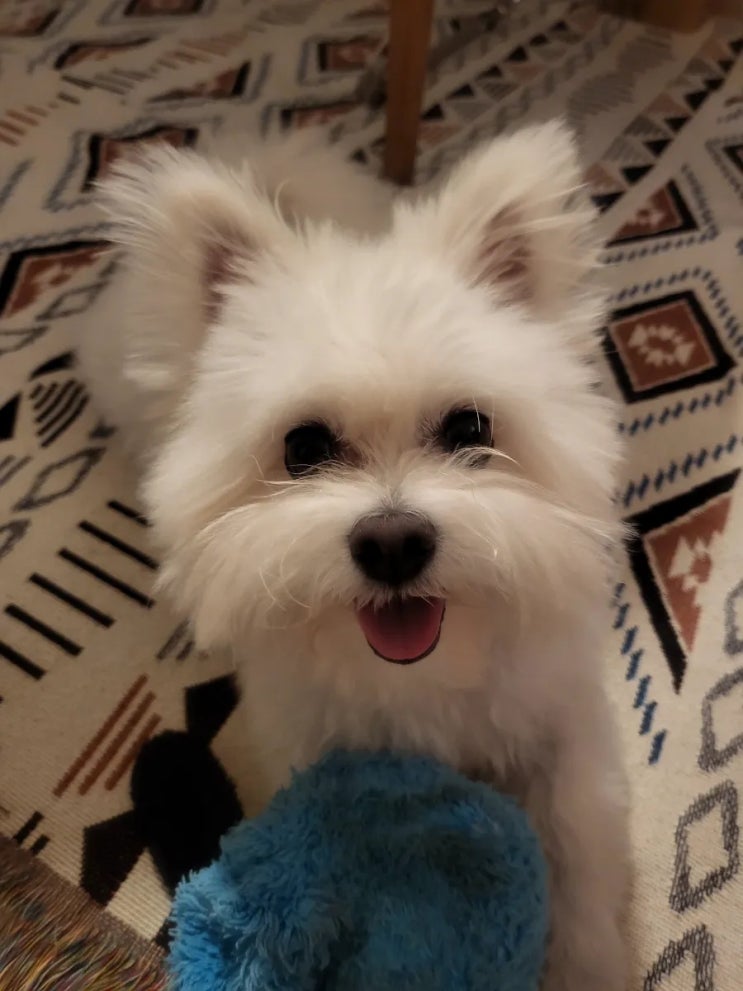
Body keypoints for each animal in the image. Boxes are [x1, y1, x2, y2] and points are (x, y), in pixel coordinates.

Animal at [78, 123, 629, 991]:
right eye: (303, 447)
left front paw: (587, 962)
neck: (420, 674)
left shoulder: (563, 714)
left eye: (469, 428)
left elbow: (577, 830)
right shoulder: (315, 751)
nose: (392, 541)